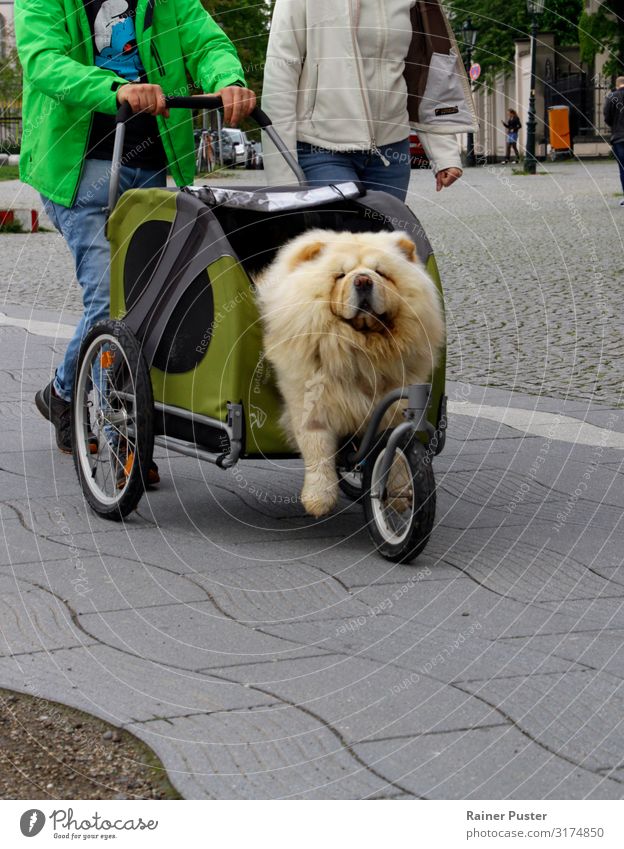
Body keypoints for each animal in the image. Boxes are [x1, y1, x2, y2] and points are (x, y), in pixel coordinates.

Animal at [256, 227, 446, 516]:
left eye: (381, 272)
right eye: (340, 275)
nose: (363, 281)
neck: (361, 348)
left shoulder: (394, 404)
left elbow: (394, 451)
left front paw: (399, 496)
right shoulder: (309, 402)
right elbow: (318, 450)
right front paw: (318, 500)